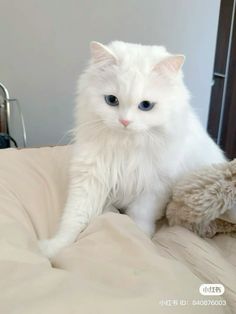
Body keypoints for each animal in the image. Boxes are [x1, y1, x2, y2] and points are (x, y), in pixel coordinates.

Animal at [39, 41, 226, 258]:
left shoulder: (153, 188)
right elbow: (73, 219)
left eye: (146, 105)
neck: (126, 147)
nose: (125, 121)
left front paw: (142, 240)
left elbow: (140, 219)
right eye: (112, 100)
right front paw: (53, 248)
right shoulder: (90, 179)